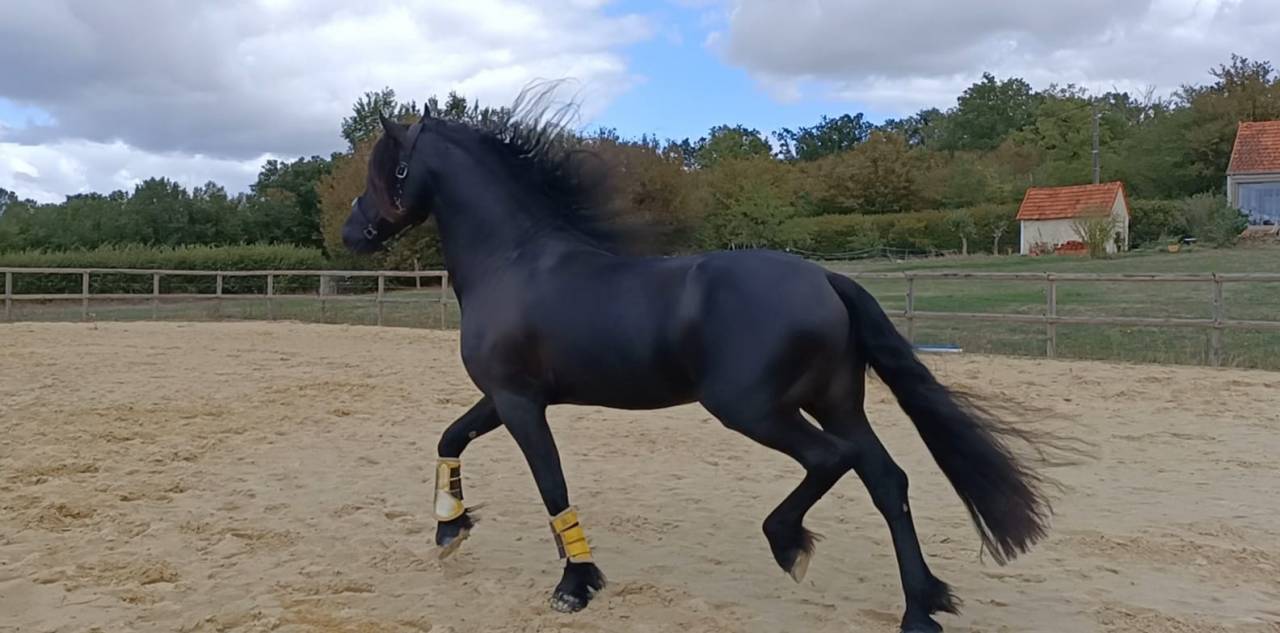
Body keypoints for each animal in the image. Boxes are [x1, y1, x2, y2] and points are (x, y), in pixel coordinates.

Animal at [339, 87, 1053, 633]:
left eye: (387, 169)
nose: (352, 231)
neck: (512, 261)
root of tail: (825, 279)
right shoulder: (505, 397)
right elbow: (451, 436)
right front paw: (449, 530)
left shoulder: (520, 403)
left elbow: (552, 485)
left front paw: (576, 583)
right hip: (835, 401)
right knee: (886, 479)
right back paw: (921, 607)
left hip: (752, 409)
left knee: (833, 461)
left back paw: (789, 544)